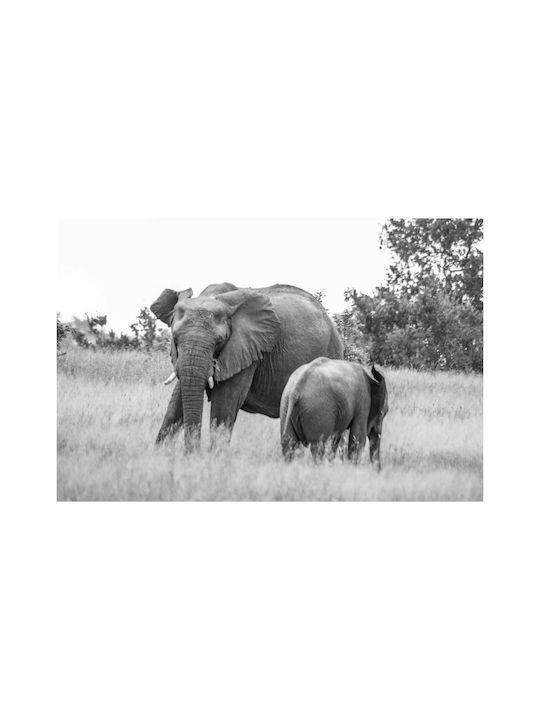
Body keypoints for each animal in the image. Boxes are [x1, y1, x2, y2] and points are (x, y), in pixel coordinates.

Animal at [150, 283, 344, 449]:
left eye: (219, 342)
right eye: (175, 339)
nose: (193, 452)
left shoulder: (248, 349)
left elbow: (224, 405)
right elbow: (175, 405)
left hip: (330, 352)